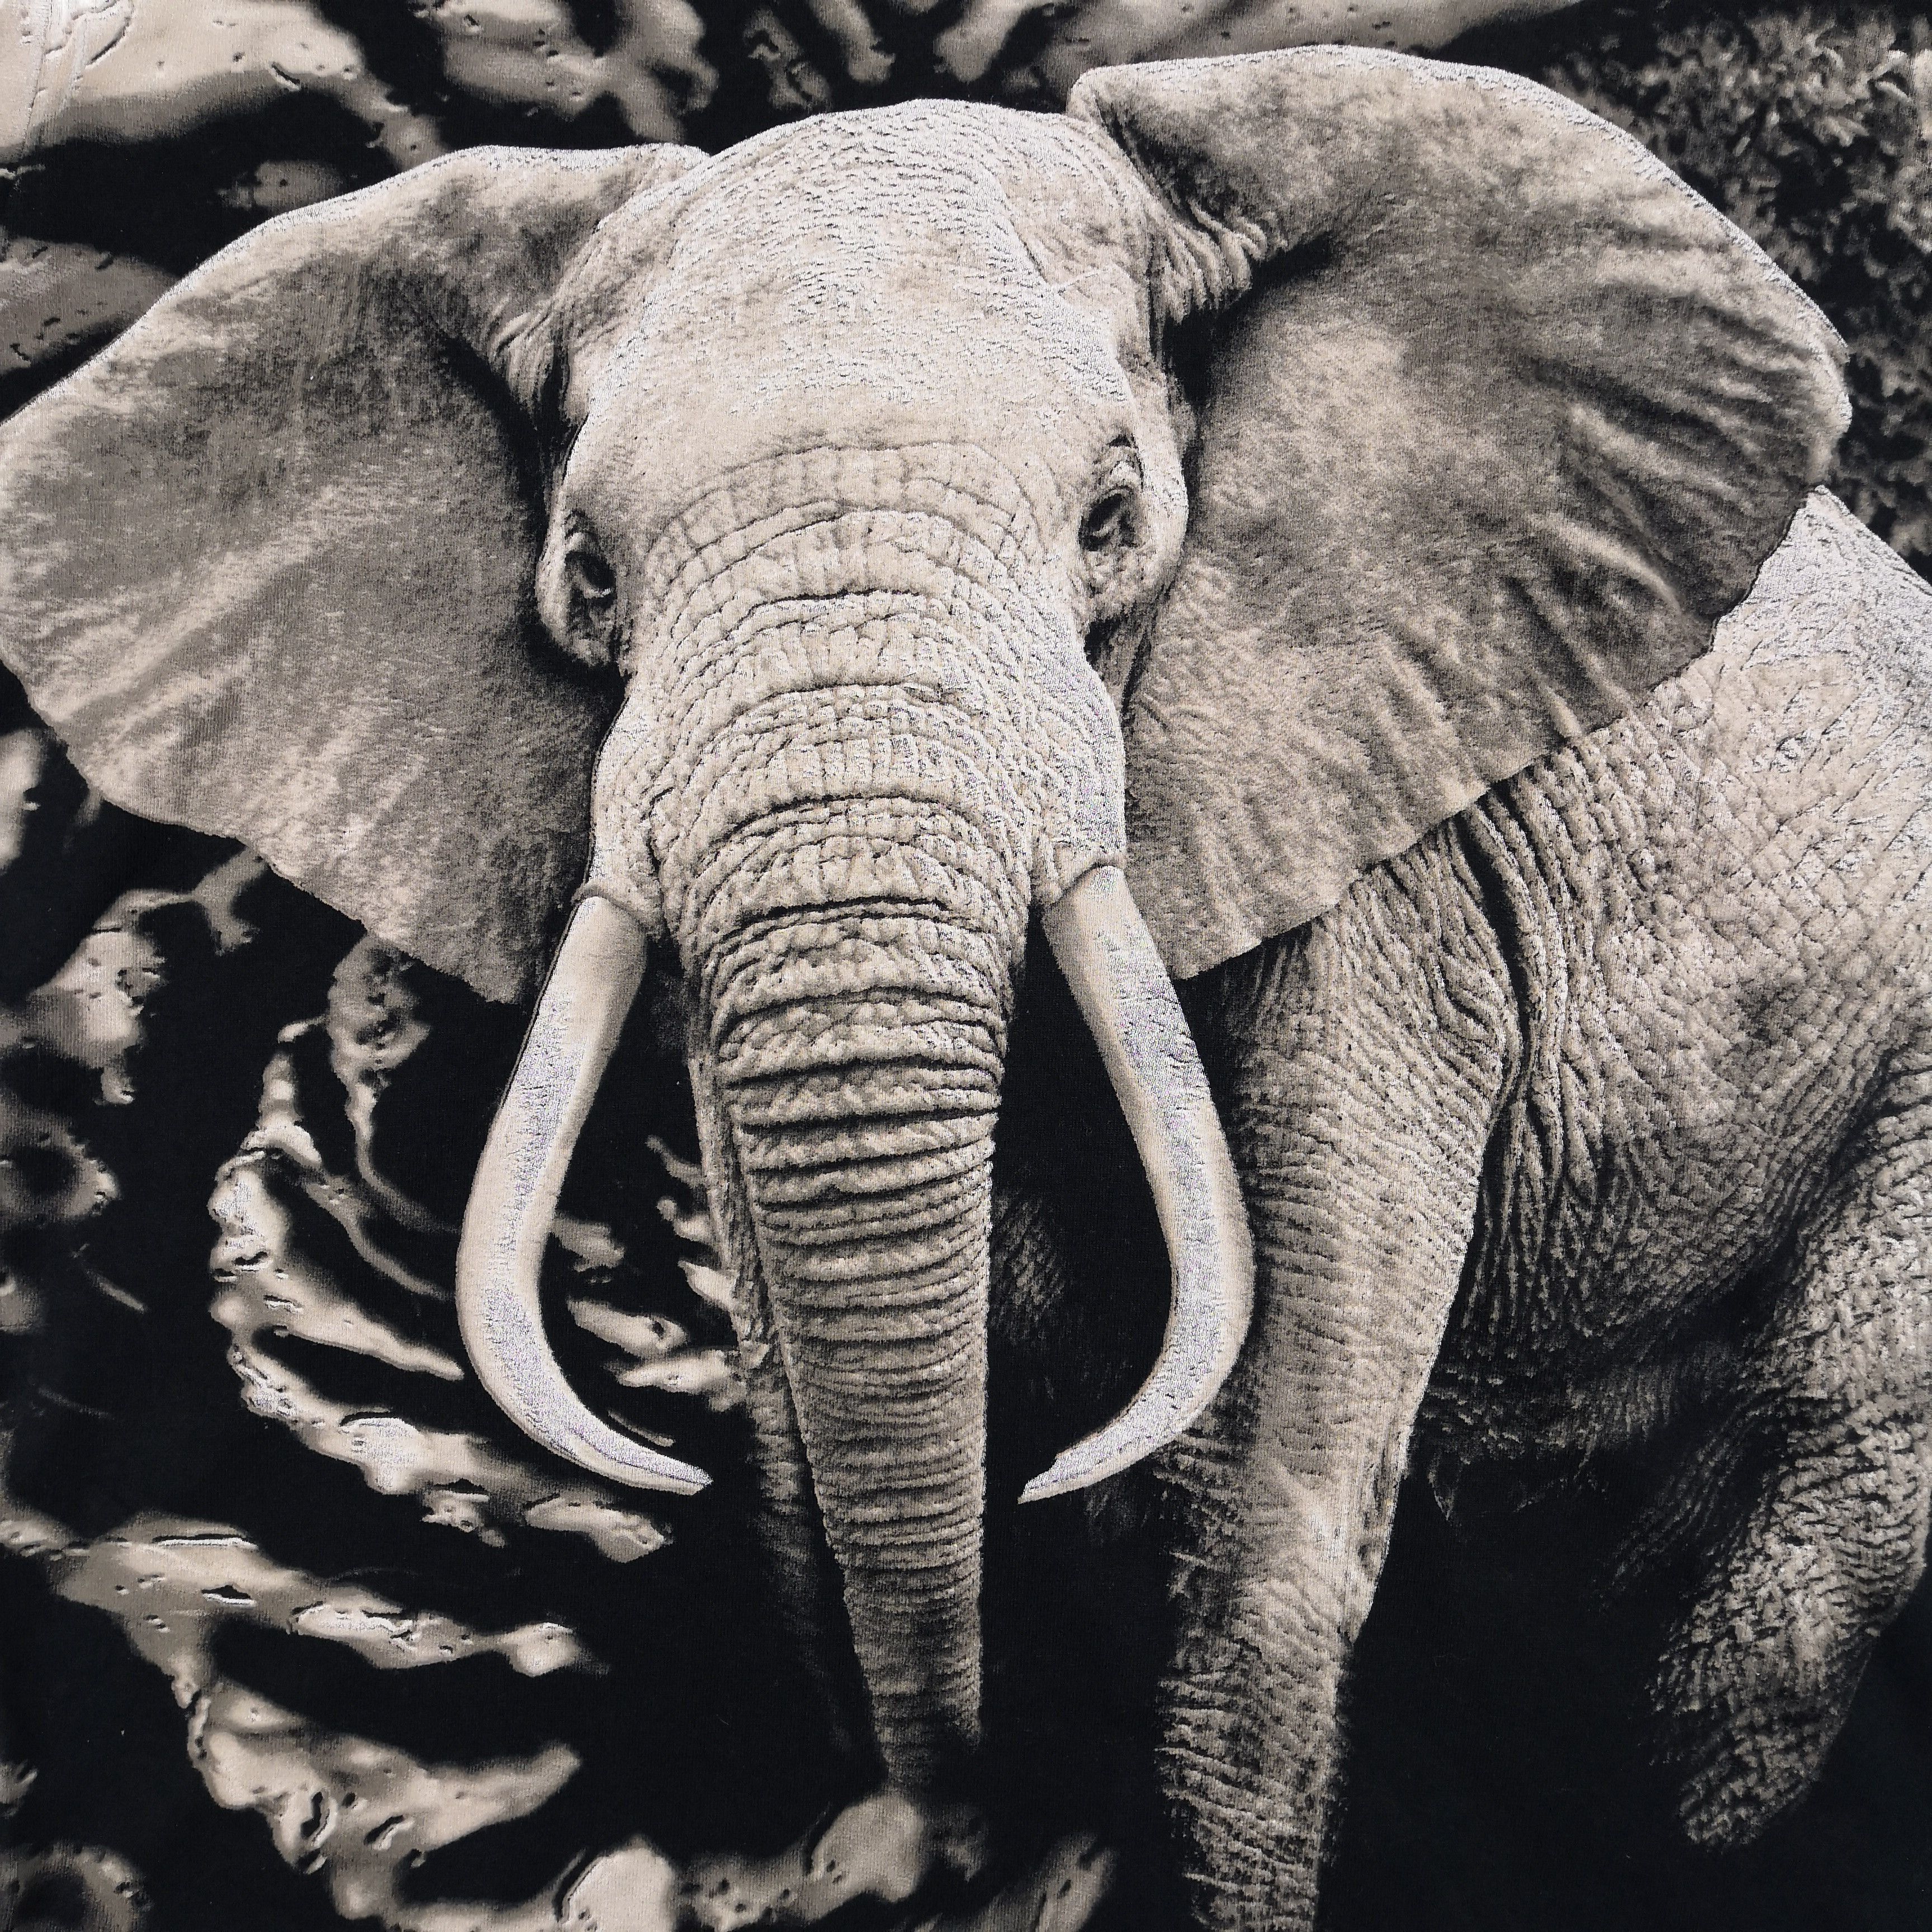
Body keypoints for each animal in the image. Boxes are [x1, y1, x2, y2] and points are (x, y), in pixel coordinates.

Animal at [2, 40, 1930, 1930]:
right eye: (589, 576)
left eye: (1112, 519)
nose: (920, 1831)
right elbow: (805, 1467)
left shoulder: (1393, 894)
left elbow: (1264, 1531)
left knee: (1798, 1553)